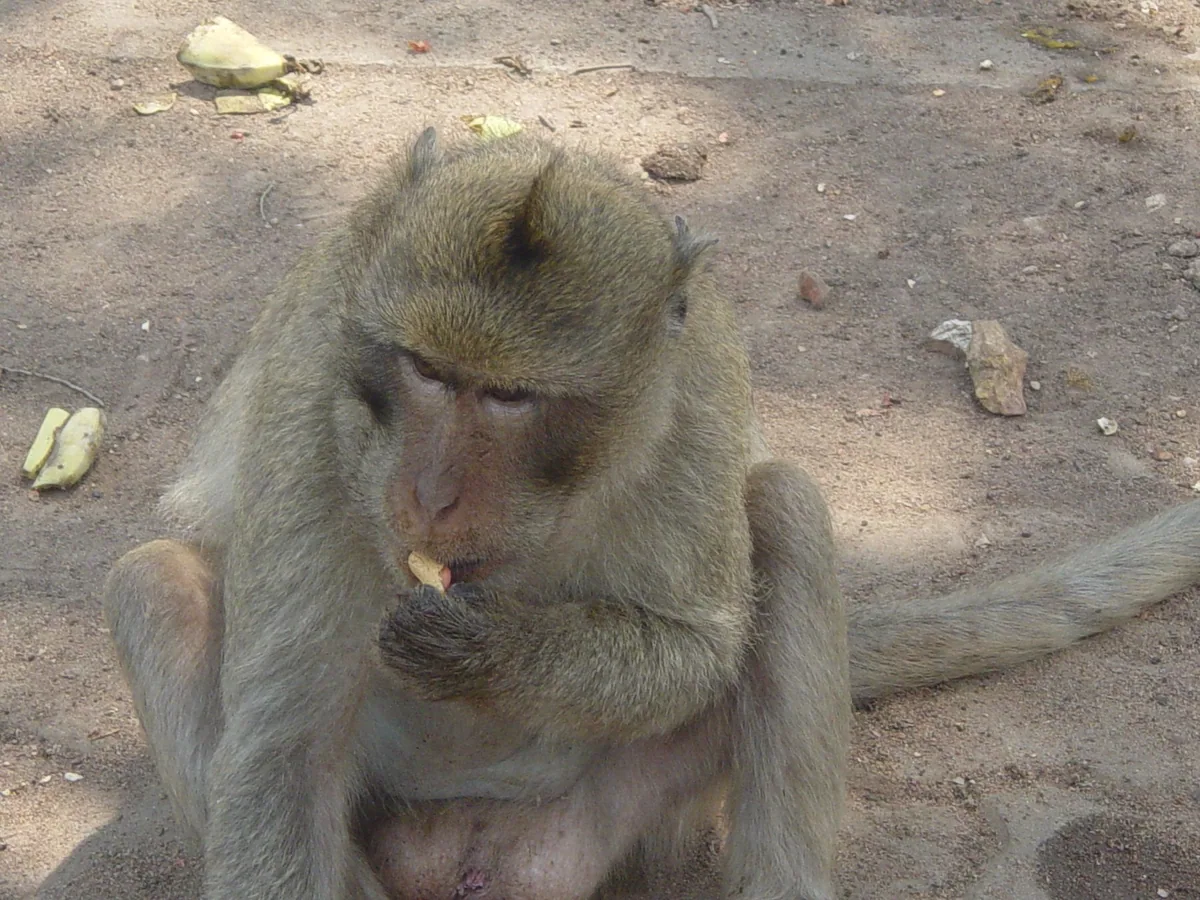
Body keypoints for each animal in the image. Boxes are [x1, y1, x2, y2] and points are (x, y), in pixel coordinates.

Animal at [100, 126, 1200, 900]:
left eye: (512, 398)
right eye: (425, 369)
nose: (429, 494)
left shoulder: (695, 391)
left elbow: (701, 645)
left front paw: (490, 648)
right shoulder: (308, 397)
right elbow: (279, 752)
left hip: (633, 812)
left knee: (787, 512)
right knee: (150, 586)